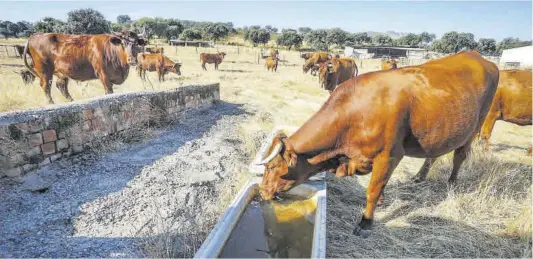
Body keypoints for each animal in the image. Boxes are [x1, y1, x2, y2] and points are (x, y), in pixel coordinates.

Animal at [254, 50, 498, 240]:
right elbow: (381, 185)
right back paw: (420, 176)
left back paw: (452, 182)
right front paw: (381, 201)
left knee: (460, 156)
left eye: (272, 167)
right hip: (440, 132)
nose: (262, 192)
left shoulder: (389, 155)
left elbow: (373, 189)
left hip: (475, 126)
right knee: (434, 154)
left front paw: (366, 222)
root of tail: (478, 57)